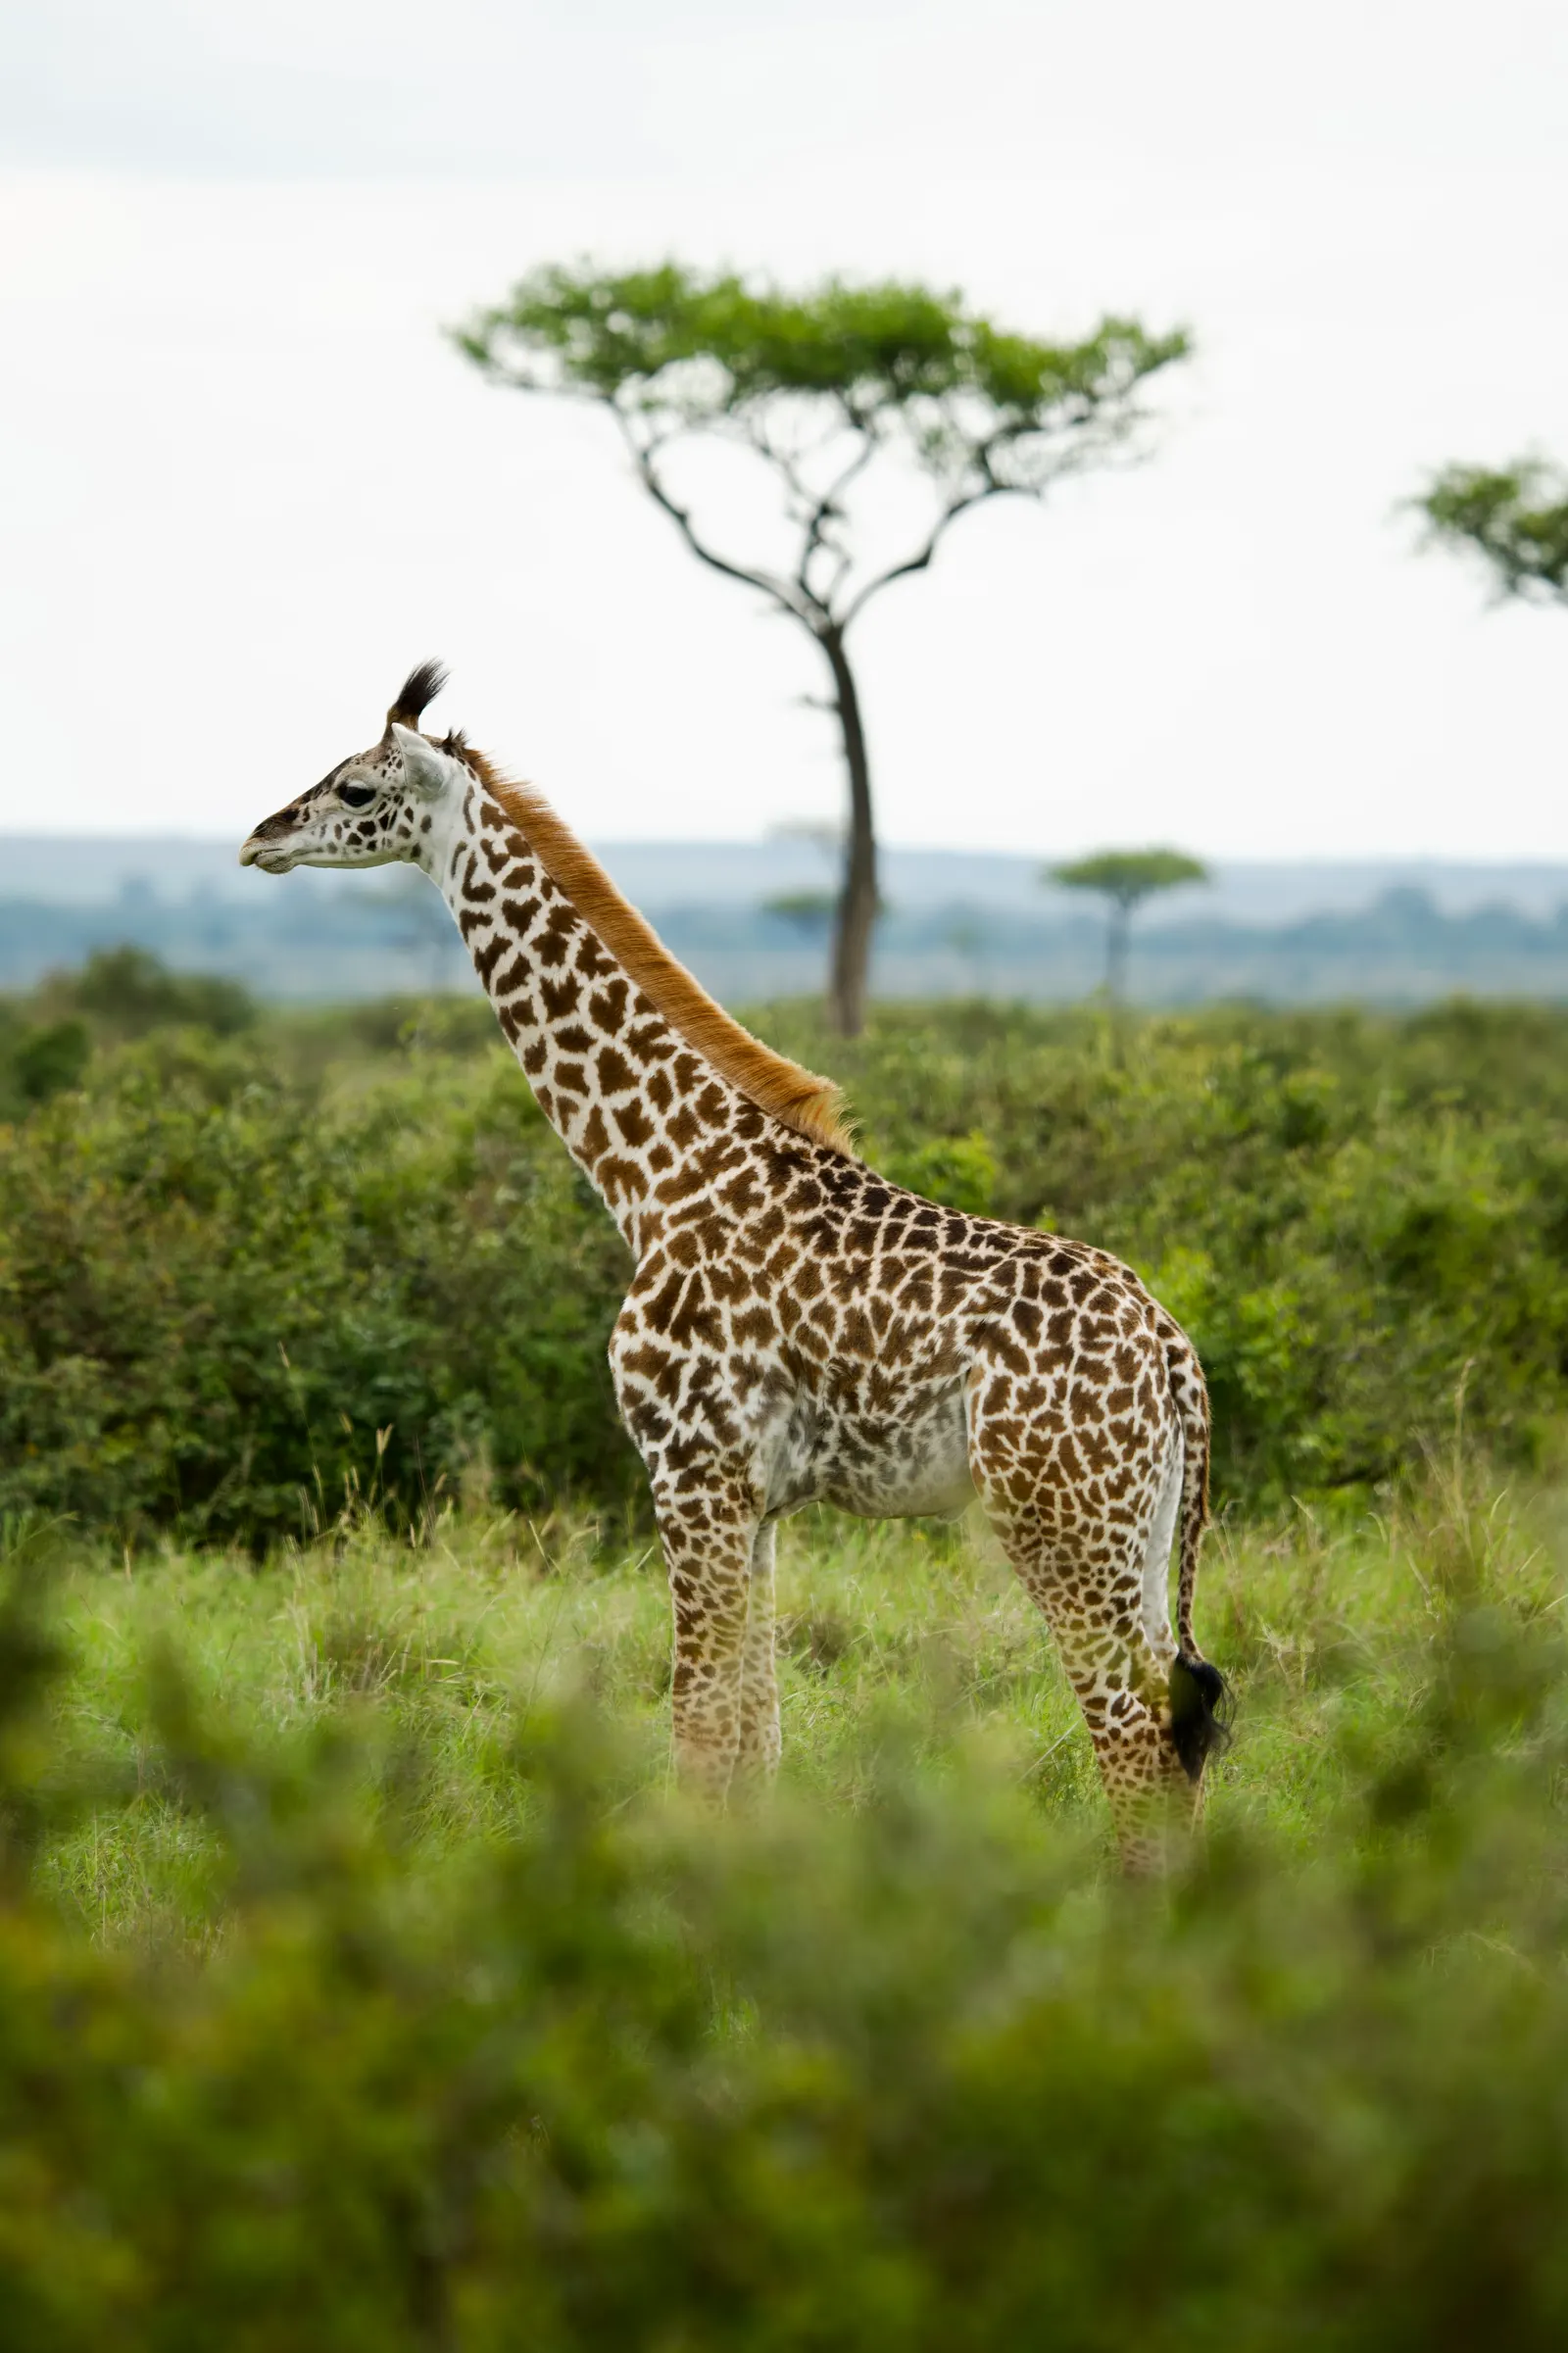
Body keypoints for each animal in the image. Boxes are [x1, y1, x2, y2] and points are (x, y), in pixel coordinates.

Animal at [241, 663, 1229, 1866]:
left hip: (1059, 1520)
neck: (657, 1173)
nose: (259, 836)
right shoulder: (754, 1501)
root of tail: (1174, 1356)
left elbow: (699, 1728)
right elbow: (756, 1734)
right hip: (1143, 1528)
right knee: (1176, 1735)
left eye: (352, 785)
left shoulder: (689, 1469)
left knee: (1131, 1740)